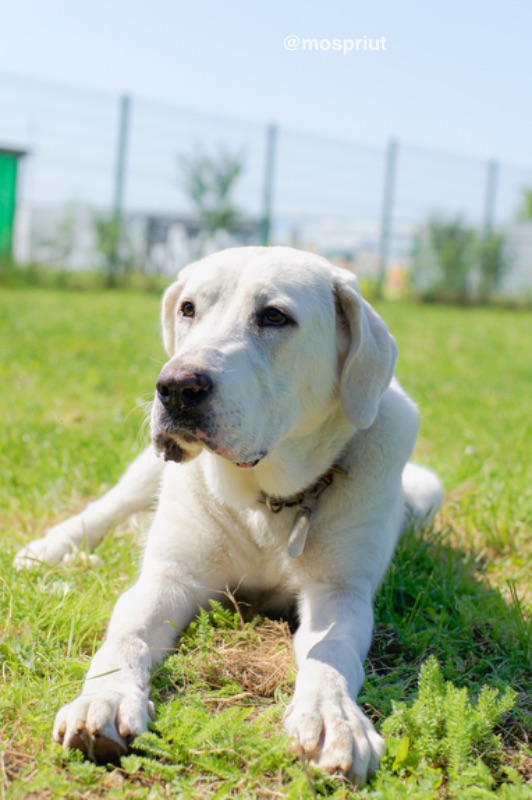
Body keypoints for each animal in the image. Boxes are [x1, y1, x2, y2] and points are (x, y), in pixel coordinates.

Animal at [14, 247, 442, 784]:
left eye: (275, 317)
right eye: (188, 309)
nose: (175, 387)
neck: (267, 498)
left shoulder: (339, 591)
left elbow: (332, 654)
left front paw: (334, 718)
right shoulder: (170, 576)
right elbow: (127, 634)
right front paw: (105, 698)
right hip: (145, 470)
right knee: (106, 508)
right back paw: (50, 550)